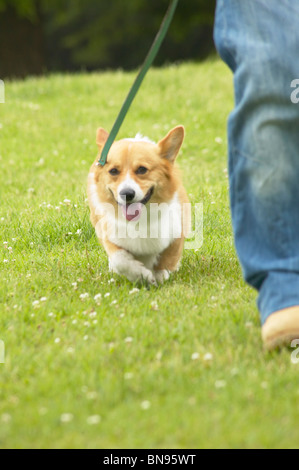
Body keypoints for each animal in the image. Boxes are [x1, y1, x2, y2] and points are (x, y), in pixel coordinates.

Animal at [87, 125, 190, 284]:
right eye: (113, 171)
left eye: (142, 169)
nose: (127, 193)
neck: (140, 220)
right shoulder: (109, 234)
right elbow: (121, 260)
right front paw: (142, 275)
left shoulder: (177, 231)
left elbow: (168, 257)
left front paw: (159, 276)